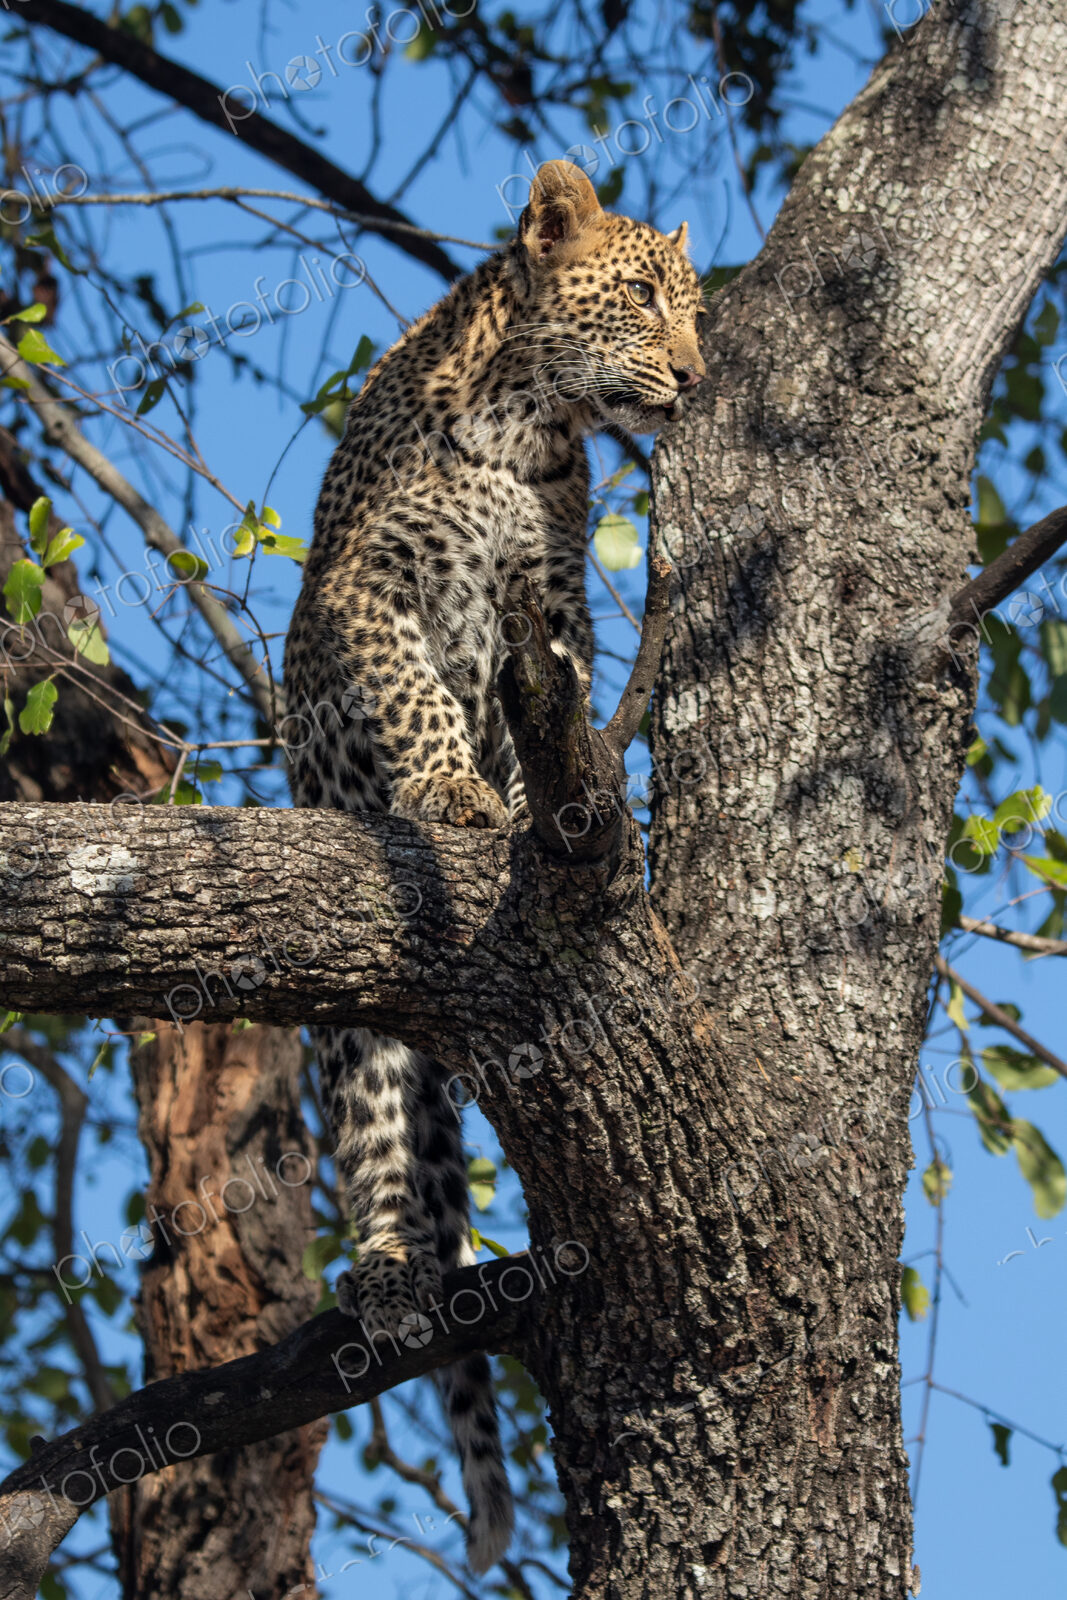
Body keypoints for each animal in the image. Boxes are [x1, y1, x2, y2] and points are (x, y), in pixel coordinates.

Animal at [284, 159, 706, 1574]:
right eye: (641, 299)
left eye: (693, 306)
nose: (697, 376)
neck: (524, 434)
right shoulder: (359, 593)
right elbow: (414, 697)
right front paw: (450, 791)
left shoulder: (552, 612)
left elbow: (545, 726)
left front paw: (528, 816)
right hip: (355, 1036)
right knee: (375, 1139)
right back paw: (388, 1273)